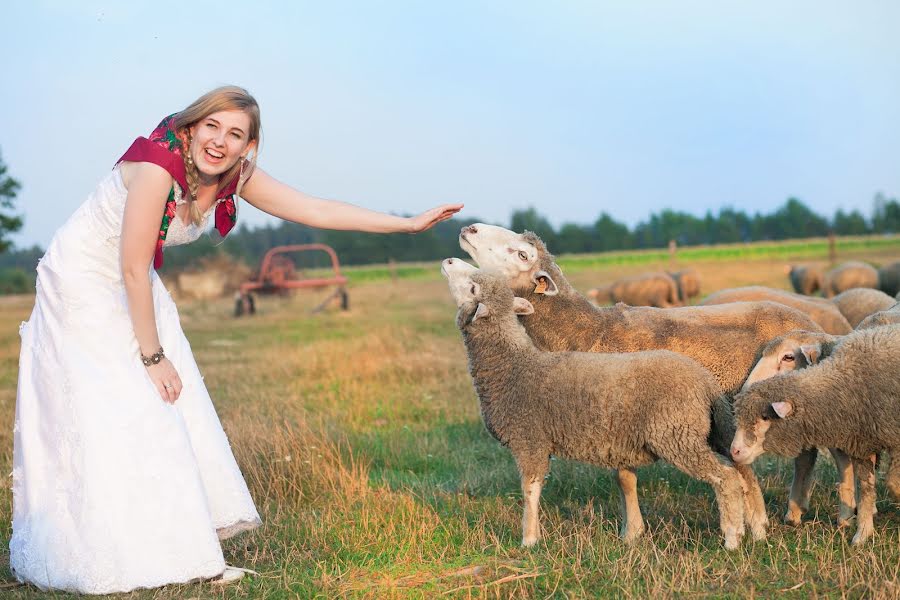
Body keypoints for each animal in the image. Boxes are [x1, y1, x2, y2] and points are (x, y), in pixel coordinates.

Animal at [732, 326, 900, 548]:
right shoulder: (856, 441)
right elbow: (860, 485)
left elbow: (890, 483)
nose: (734, 451)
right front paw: (856, 527)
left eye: (788, 357)